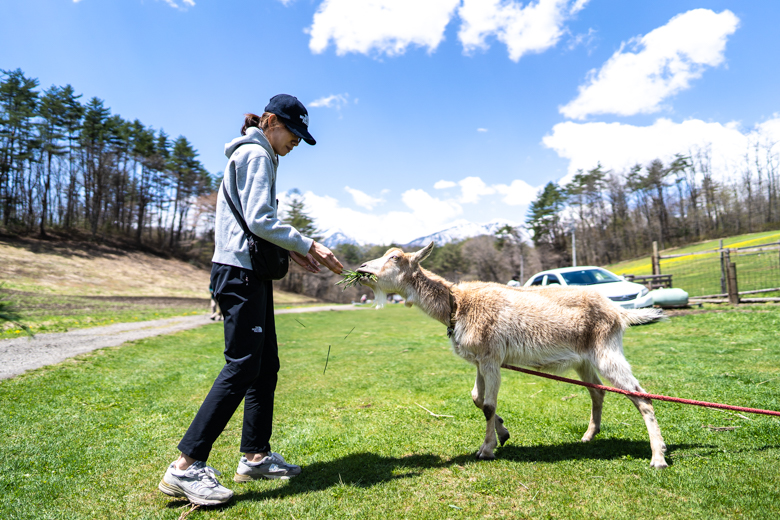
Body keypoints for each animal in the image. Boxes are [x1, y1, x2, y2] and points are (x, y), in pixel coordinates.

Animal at [356, 243, 668, 468]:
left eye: (395, 257)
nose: (360, 268)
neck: (457, 304)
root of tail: (618, 312)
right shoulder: (481, 361)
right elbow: (477, 398)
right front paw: (503, 433)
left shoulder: (491, 358)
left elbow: (488, 405)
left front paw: (486, 449)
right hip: (584, 360)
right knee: (597, 391)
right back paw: (590, 435)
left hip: (607, 351)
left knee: (641, 395)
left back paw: (658, 457)